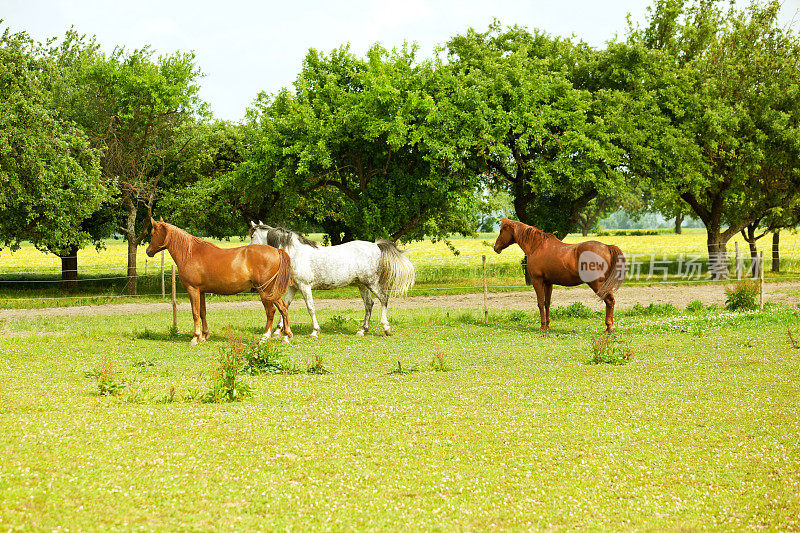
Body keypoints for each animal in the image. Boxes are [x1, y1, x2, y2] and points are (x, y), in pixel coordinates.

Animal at [145, 217, 294, 344]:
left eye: (152, 234)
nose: (148, 251)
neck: (190, 253)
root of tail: (278, 251)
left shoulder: (192, 289)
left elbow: (195, 313)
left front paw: (195, 337)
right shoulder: (201, 291)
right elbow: (202, 312)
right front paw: (204, 335)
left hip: (265, 290)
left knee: (271, 311)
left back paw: (264, 337)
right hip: (272, 291)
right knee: (283, 308)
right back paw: (286, 335)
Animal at [247, 221, 416, 336]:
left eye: (252, 235)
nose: (247, 250)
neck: (295, 253)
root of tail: (376, 245)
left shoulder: (305, 286)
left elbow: (310, 308)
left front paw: (315, 331)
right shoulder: (293, 287)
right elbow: (285, 307)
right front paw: (278, 331)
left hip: (371, 282)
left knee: (383, 298)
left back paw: (386, 327)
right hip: (361, 284)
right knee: (369, 304)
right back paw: (362, 330)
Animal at [494, 218, 624, 330]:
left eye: (501, 231)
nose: (495, 248)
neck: (537, 246)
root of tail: (606, 247)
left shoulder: (537, 281)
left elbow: (540, 303)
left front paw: (542, 327)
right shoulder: (548, 283)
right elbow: (547, 303)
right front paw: (547, 325)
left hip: (597, 283)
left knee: (609, 301)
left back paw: (609, 327)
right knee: (611, 301)